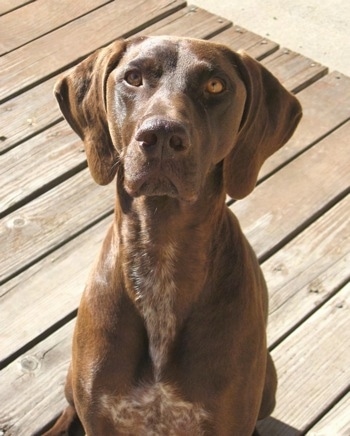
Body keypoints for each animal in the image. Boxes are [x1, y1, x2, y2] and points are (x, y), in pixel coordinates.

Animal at [43, 35, 300, 434]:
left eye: (215, 85)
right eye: (133, 77)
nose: (162, 135)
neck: (161, 248)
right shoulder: (99, 414)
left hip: (268, 382)